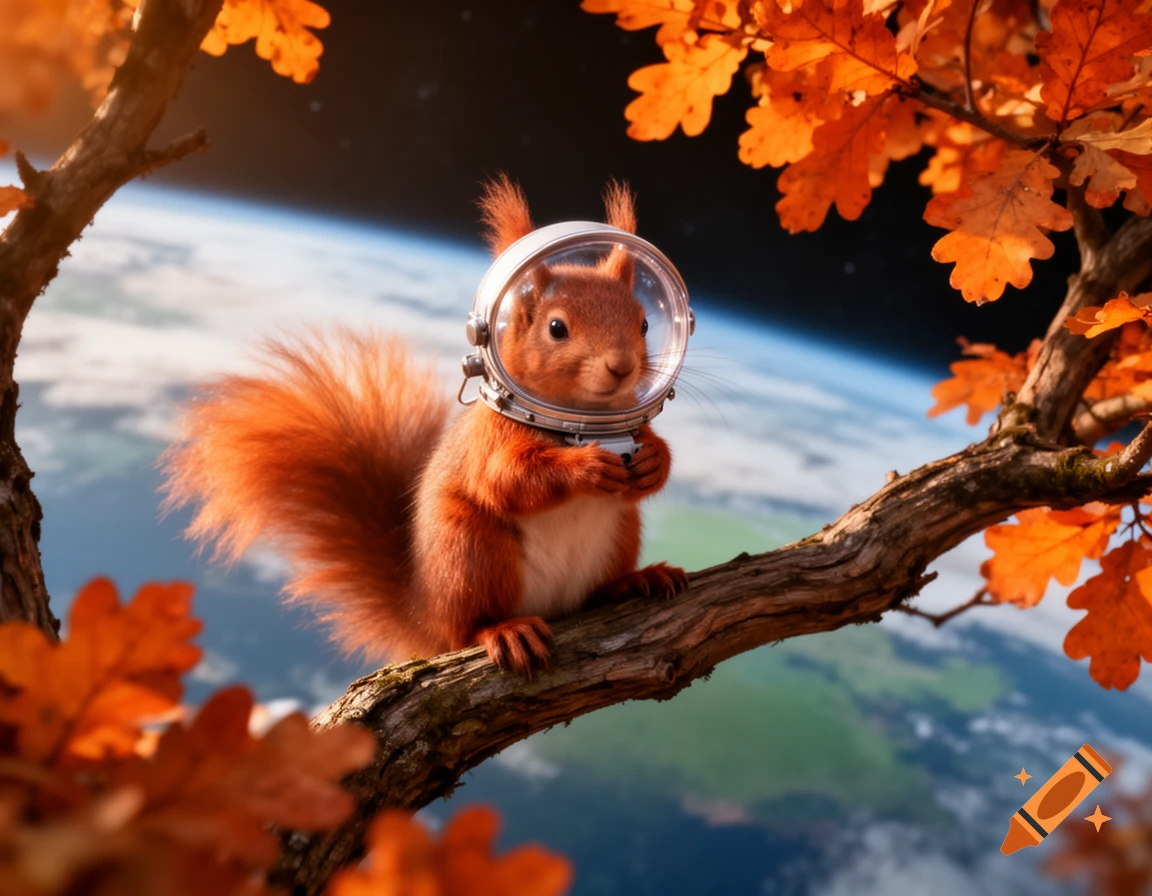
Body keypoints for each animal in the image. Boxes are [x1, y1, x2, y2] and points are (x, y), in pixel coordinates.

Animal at [159, 176, 687, 677]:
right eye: (557, 328)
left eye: (644, 323)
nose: (622, 367)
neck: (578, 421)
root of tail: (425, 614)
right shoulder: (488, 442)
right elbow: (509, 480)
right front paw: (587, 467)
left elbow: (650, 453)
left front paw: (654, 462)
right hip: (471, 552)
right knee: (467, 626)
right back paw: (504, 630)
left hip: (621, 532)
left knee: (598, 591)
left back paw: (635, 581)